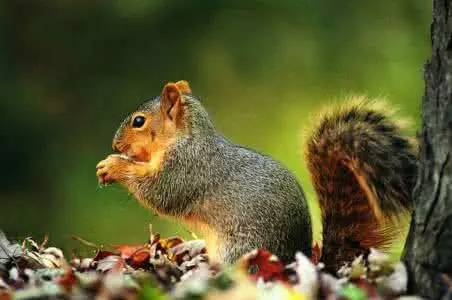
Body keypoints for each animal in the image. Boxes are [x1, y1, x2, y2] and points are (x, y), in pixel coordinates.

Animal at [95, 81, 416, 270]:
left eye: (139, 121)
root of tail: (295, 259)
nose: (115, 144)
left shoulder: (186, 168)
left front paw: (114, 166)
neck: (186, 138)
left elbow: (159, 193)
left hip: (239, 250)